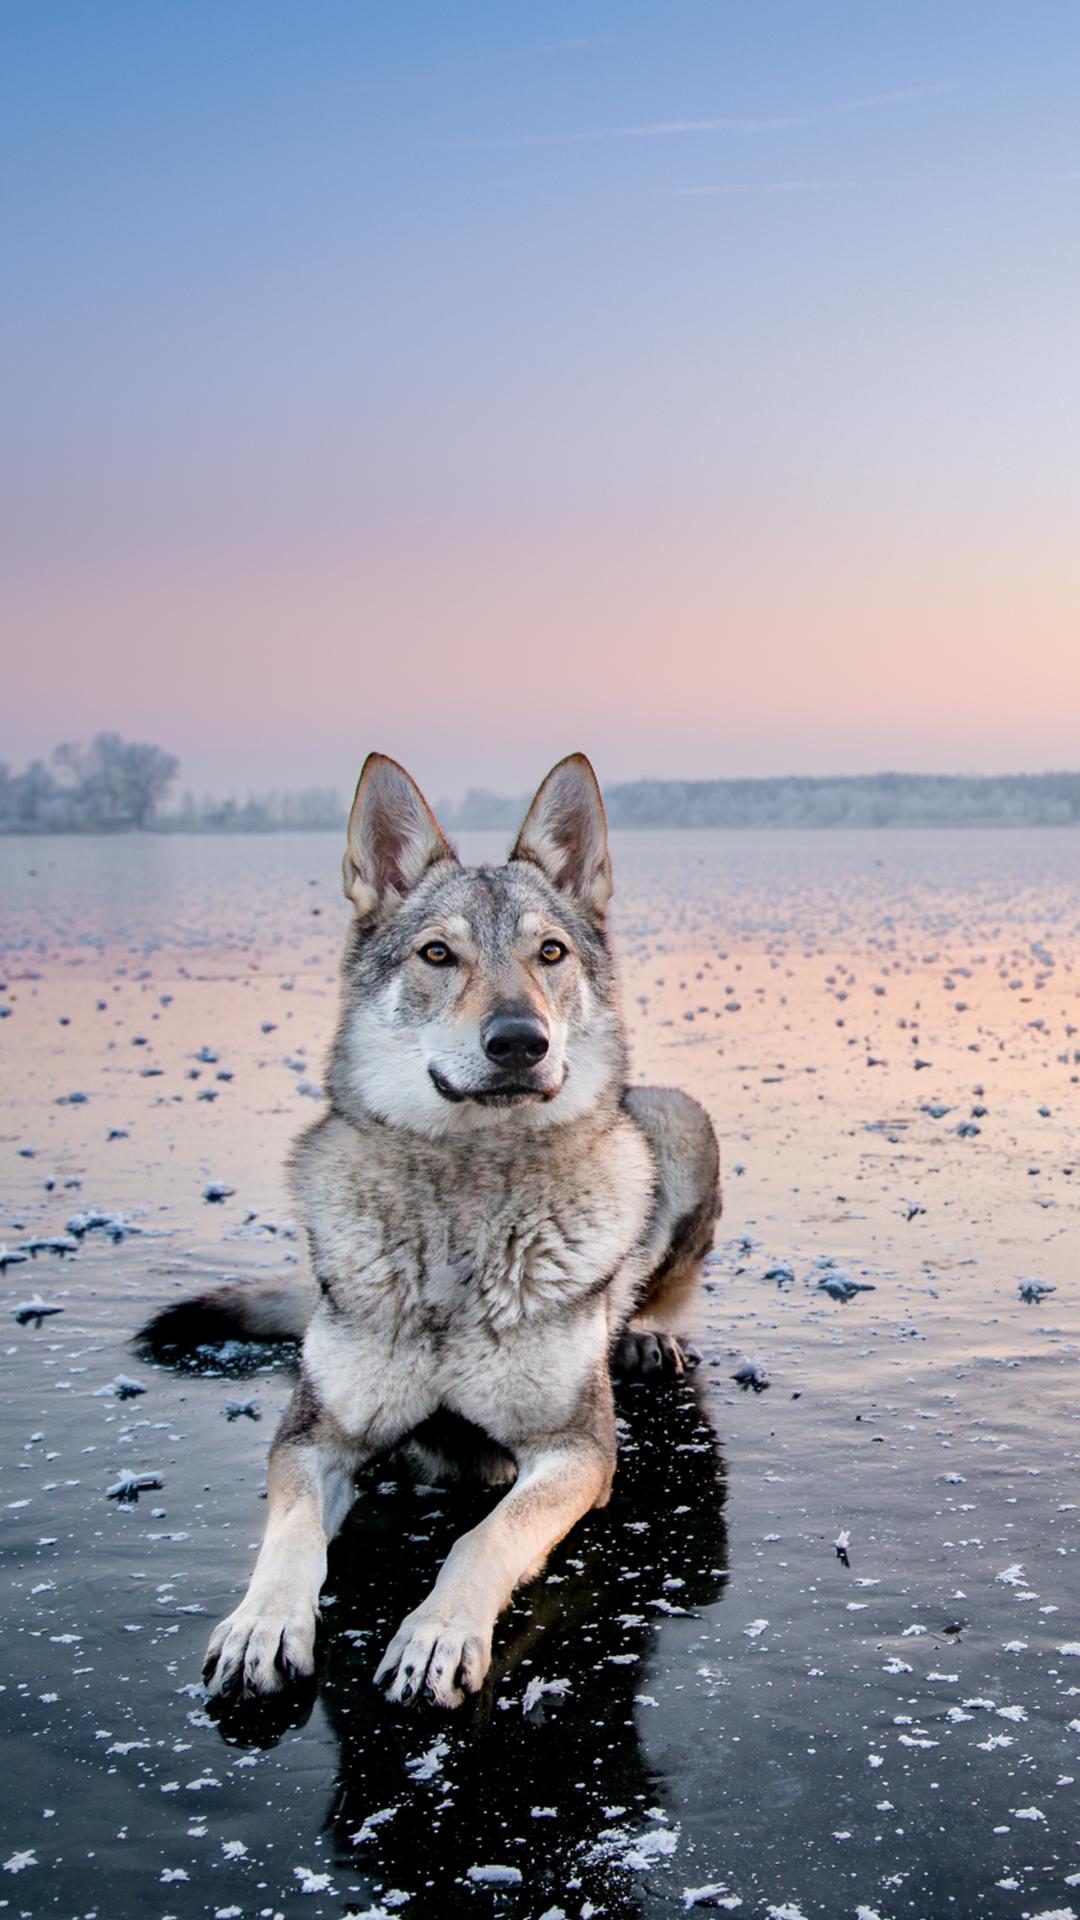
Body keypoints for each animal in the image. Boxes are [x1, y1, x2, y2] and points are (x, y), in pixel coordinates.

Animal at [138, 748, 718, 1712]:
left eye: (549, 953)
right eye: (438, 955)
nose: (519, 1041)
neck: (466, 1215)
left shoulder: (576, 1449)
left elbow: (483, 1537)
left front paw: (440, 1632)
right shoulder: (315, 1435)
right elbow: (290, 1534)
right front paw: (263, 1623)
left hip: (679, 1124)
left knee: (655, 1295)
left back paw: (641, 1338)